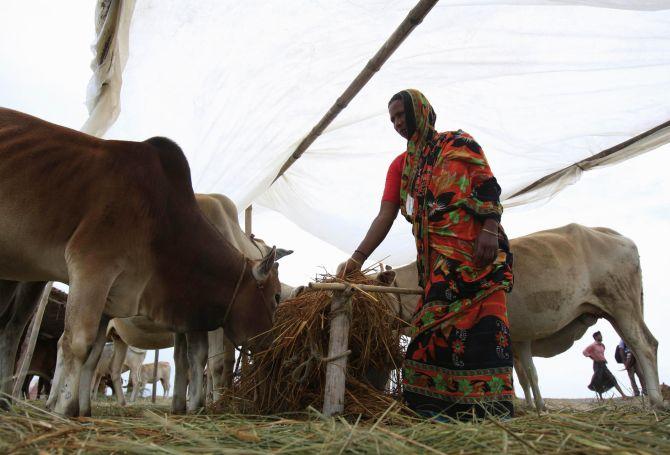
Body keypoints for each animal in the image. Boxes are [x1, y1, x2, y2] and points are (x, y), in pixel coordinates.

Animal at [0, 108, 280, 416]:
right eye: (276, 297)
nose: (275, 348)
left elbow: (188, 359)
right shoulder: (92, 268)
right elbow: (78, 343)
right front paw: (62, 411)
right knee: (26, 331)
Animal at [380, 226, 664, 412]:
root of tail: (616, 235)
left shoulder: (514, 338)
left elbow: (526, 375)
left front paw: (534, 407)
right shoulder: (520, 339)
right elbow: (527, 375)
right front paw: (534, 406)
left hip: (622, 304)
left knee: (644, 346)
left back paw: (656, 402)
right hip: (617, 310)